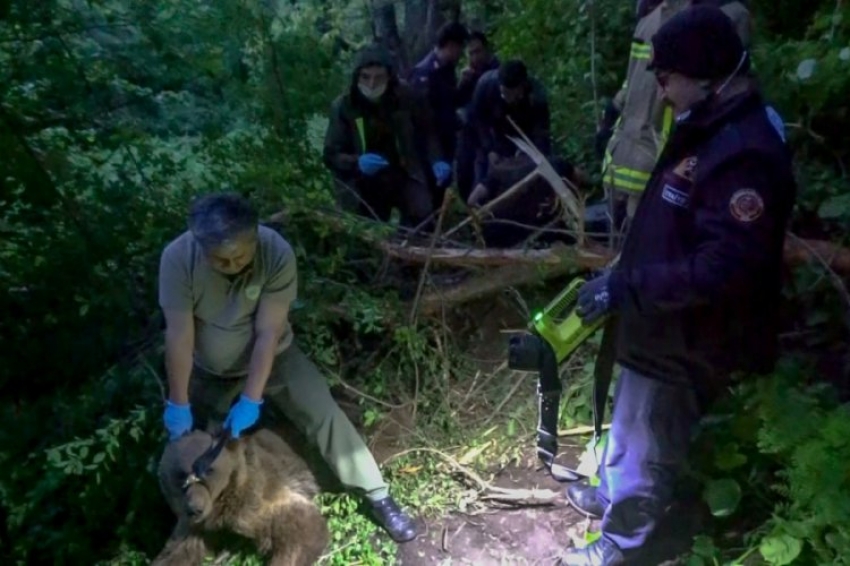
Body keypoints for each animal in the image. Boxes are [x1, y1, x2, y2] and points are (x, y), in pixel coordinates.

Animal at [152, 430, 328, 566]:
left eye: (207, 472)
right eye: (181, 478)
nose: (195, 508)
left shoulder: (254, 502)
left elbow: (299, 528)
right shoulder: (193, 526)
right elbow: (179, 550)